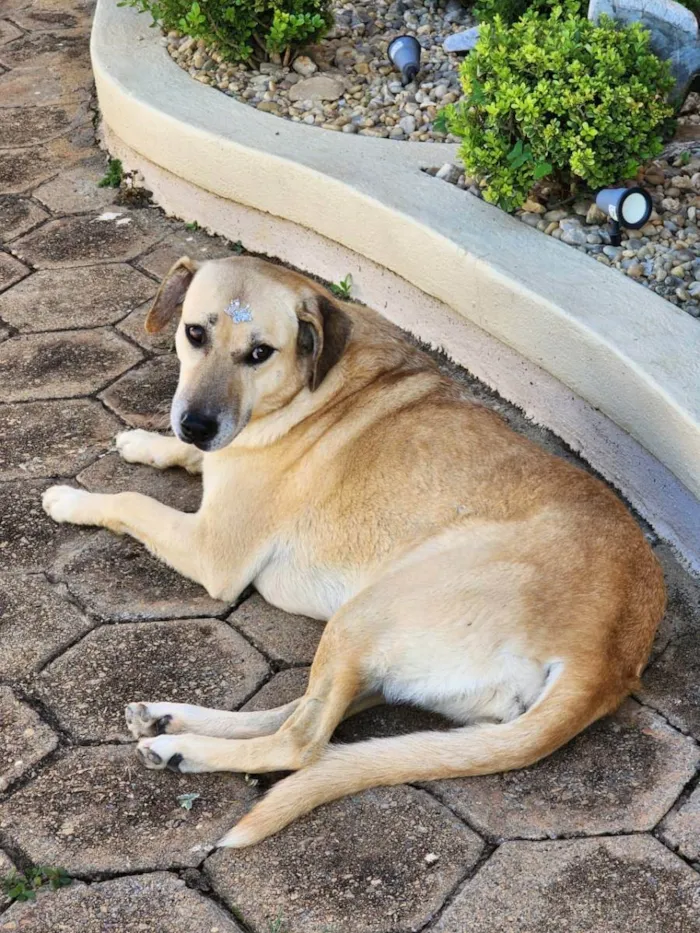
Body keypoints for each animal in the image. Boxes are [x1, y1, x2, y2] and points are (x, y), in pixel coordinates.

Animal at [42, 253, 668, 844]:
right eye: (194, 333)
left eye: (260, 352)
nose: (196, 422)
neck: (308, 385)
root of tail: (611, 658)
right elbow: (189, 458)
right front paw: (146, 442)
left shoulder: (212, 550)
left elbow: (131, 502)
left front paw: (73, 498)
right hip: (375, 650)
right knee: (301, 711)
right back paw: (170, 721)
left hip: (365, 613)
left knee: (302, 743)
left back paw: (187, 749)